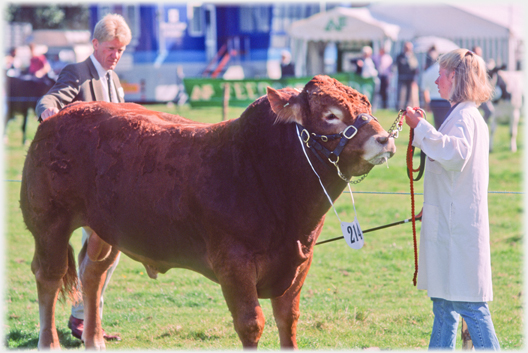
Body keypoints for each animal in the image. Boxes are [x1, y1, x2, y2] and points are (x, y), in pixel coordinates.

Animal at [21, 73, 396, 346]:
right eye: (331, 115)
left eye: (366, 103)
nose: (385, 139)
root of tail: (58, 116)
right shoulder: (233, 262)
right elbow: (251, 324)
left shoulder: (299, 263)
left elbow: (287, 320)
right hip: (48, 220)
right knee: (49, 276)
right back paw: (49, 342)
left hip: (106, 229)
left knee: (93, 274)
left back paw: (95, 340)